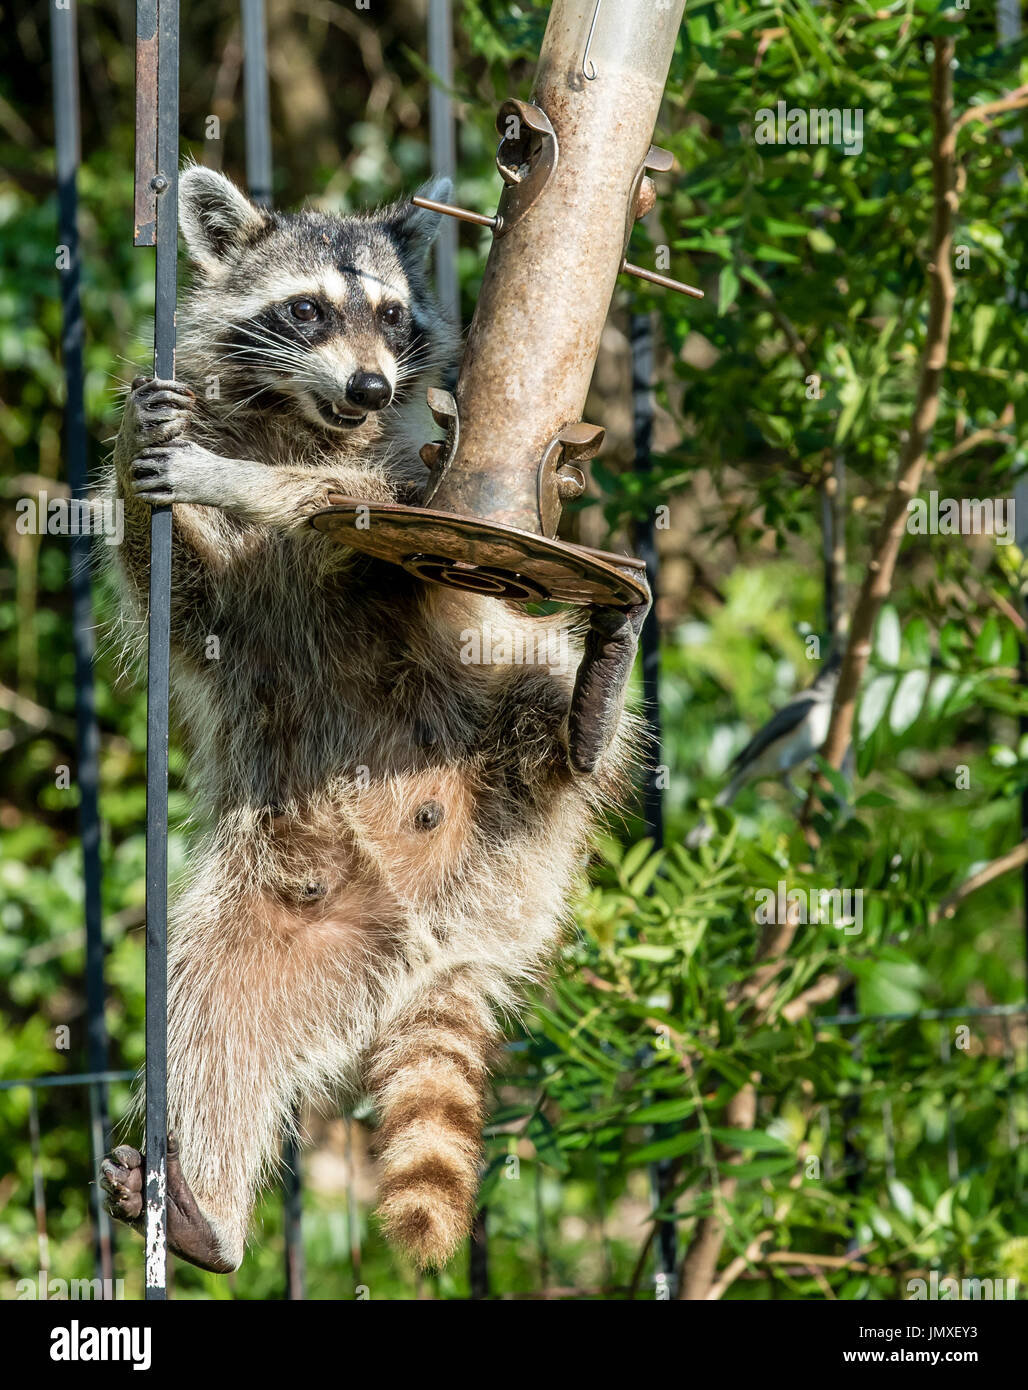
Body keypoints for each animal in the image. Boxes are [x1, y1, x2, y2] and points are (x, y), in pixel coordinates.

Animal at [99, 166, 647, 1274]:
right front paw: (144, 463)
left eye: (393, 317)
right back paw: (200, 1205)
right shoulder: (222, 594)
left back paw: (588, 721)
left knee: (541, 693)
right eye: (306, 310)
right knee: (211, 1007)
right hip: (286, 912)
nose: (370, 389)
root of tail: (453, 936)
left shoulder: (406, 484)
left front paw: (243, 482)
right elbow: (183, 598)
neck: (297, 415)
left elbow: (337, 497)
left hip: (498, 738)